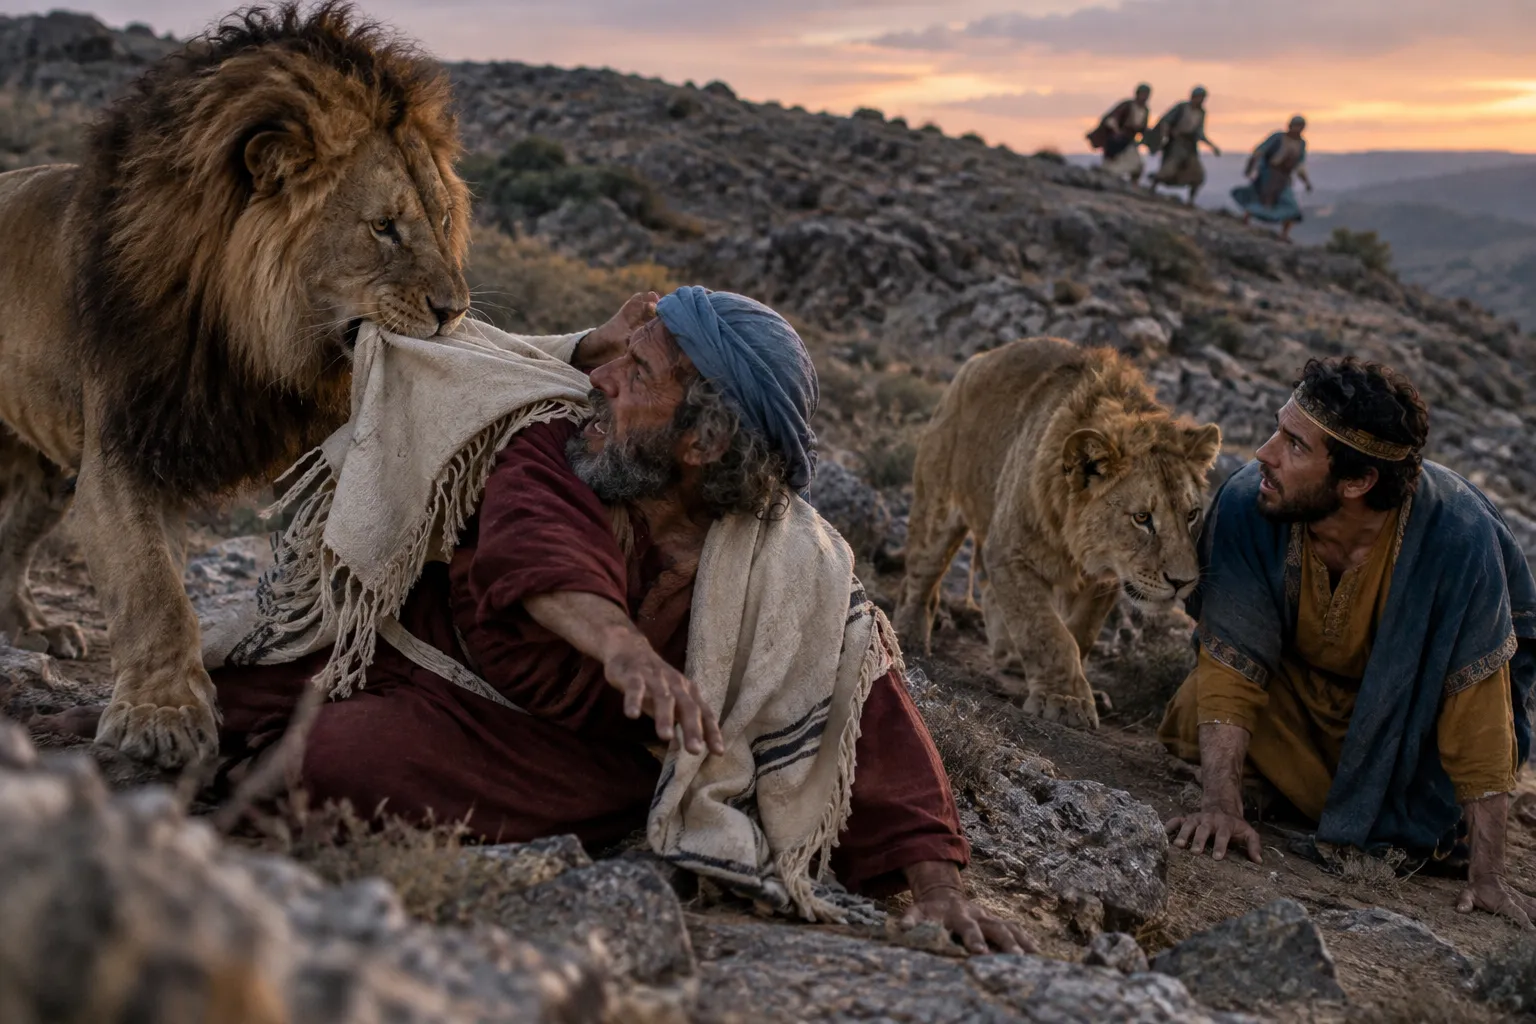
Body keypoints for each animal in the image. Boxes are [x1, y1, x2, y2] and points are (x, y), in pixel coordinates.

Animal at [0, 2, 471, 767]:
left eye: (444, 219)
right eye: (384, 227)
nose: (453, 311)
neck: (250, 348)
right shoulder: (127, 444)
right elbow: (153, 589)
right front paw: (163, 715)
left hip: (44, 465)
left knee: (14, 537)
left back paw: (31, 627)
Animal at [893, 338, 1221, 730]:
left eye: (1192, 514)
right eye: (1142, 517)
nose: (1182, 583)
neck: (1078, 548)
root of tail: (979, 359)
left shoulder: (1104, 581)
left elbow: (1079, 633)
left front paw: (1074, 687)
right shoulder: (1010, 553)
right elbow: (1045, 630)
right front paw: (1064, 701)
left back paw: (1011, 655)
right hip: (938, 505)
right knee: (922, 573)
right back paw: (911, 636)